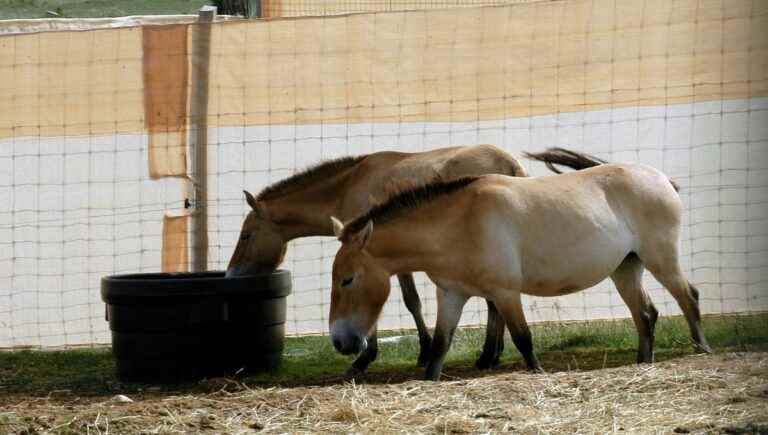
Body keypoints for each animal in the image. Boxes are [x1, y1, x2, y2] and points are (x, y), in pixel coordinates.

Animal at [226, 144, 528, 374]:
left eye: (246, 235)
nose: (230, 275)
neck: (346, 187)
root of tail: (511, 165)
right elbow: (411, 302)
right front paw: (423, 351)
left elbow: (406, 302)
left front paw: (368, 357)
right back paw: (493, 354)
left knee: (493, 302)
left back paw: (488, 355)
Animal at [328, 148, 712, 380]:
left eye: (347, 279)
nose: (341, 342)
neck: (459, 222)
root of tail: (662, 179)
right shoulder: (451, 295)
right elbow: (439, 347)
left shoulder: (505, 293)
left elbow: (524, 339)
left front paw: (536, 373)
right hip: (626, 268)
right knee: (645, 314)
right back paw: (643, 362)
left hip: (661, 259)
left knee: (688, 296)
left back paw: (702, 350)